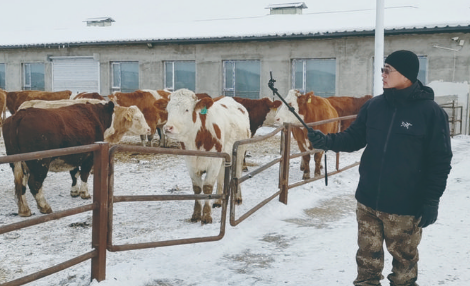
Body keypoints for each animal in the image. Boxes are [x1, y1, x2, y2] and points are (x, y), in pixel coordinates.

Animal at [1, 101, 151, 216]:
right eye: (137, 118)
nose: (149, 129)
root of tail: (19, 116)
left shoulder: (74, 156)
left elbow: (74, 174)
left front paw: (74, 191)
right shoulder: (89, 156)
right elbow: (84, 174)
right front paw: (85, 193)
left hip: (18, 163)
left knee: (20, 185)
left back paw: (24, 210)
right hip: (40, 163)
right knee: (34, 184)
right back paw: (44, 207)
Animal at [162, 88, 250, 225]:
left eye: (187, 110)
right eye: (168, 109)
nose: (168, 128)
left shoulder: (214, 162)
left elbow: (208, 187)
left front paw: (207, 216)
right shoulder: (190, 162)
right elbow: (197, 188)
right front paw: (196, 214)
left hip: (240, 151)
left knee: (237, 173)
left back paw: (238, 198)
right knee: (221, 176)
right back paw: (218, 201)